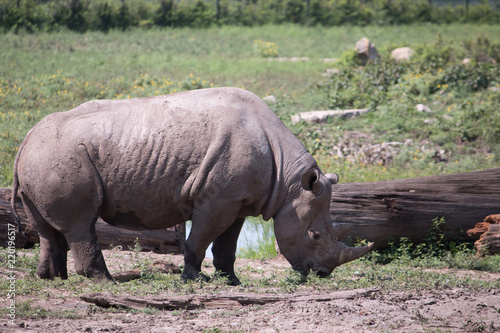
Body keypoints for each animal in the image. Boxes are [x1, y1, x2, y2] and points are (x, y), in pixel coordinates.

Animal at [10, 86, 372, 282]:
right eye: (315, 235)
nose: (322, 273)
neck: (290, 181)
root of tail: (25, 141)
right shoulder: (217, 199)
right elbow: (200, 237)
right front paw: (196, 279)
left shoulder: (238, 200)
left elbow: (227, 244)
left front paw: (232, 282)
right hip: (61, 155)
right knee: (81, 223)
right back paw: (105, 282)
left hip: (42, 156)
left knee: (47, 227)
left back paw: (53, 278)